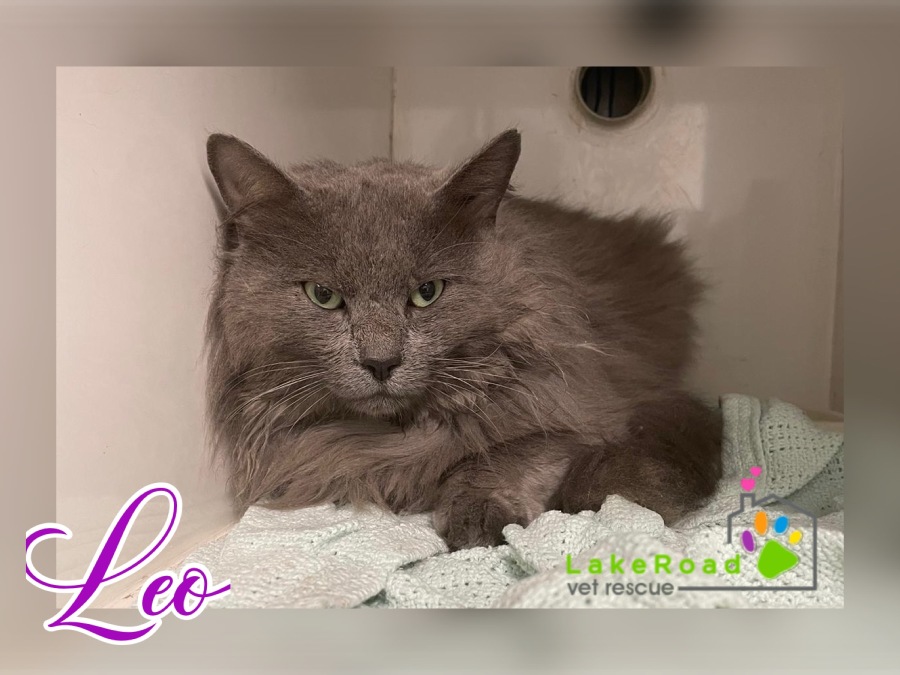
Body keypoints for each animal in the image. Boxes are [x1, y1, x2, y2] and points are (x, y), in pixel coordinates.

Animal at [205, 129, 723, 550]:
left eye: (427, 293)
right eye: (324, 296)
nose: (380, 361)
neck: (397, 432)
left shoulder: (583, 403)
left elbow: (507, 452)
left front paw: (475, 516)